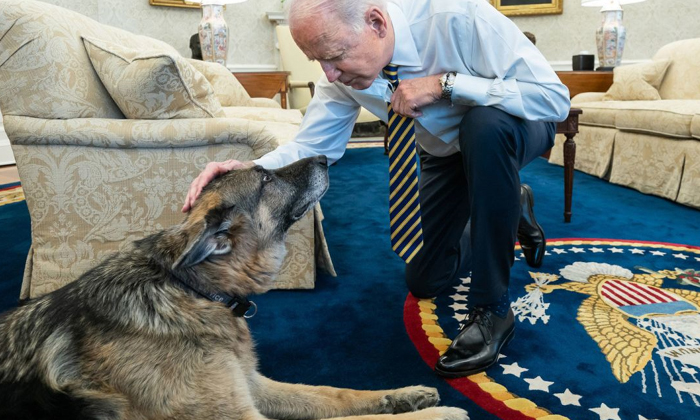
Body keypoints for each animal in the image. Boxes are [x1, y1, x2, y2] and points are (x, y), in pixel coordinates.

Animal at [1, 157, 470, 420]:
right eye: (264, 178)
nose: (324, 157)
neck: (190, 289)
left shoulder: (253, 385)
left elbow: (333, 395)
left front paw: (402, 396)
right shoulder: (240, 413)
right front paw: (439, 414)